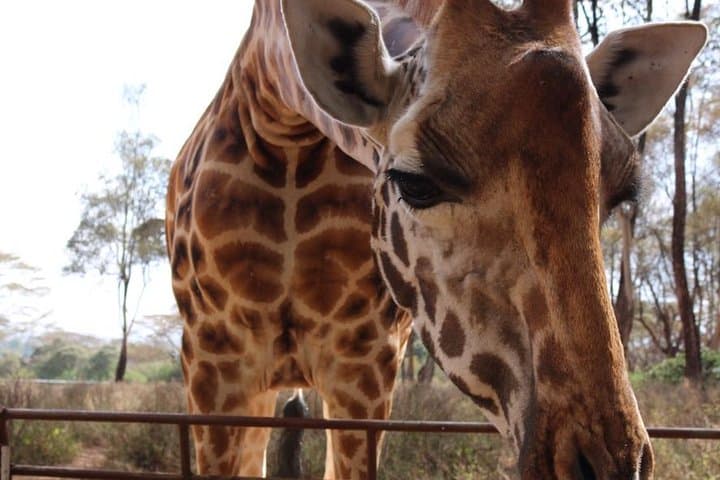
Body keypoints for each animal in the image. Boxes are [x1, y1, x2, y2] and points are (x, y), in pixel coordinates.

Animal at [165, 0, 706, 478]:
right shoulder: (213, 362)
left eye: (620, 193)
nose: (608, 465)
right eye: (416, 183)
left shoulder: (368, 365)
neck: (288, 129)